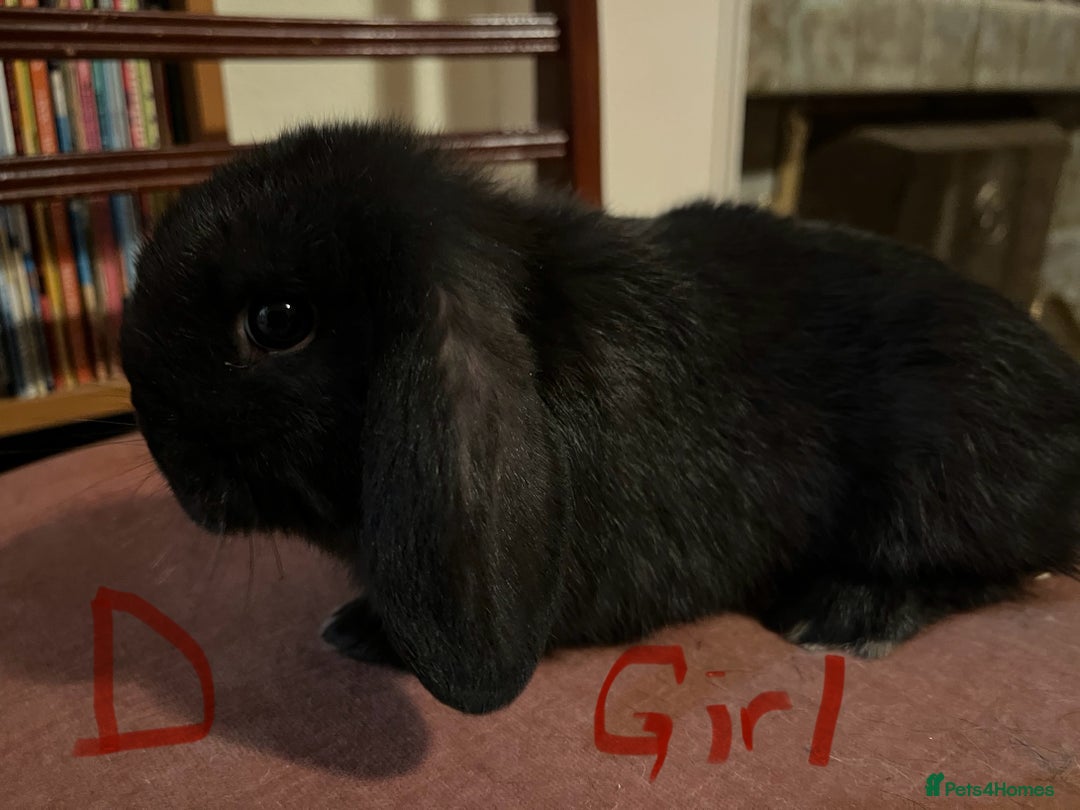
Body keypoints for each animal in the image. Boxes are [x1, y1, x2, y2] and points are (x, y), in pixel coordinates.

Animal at [121, 120, 1080, 716]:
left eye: (278, 319)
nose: (164, 455)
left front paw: (360, 629)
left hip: (944, 475)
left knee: (998, 570)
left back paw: (844, 616)